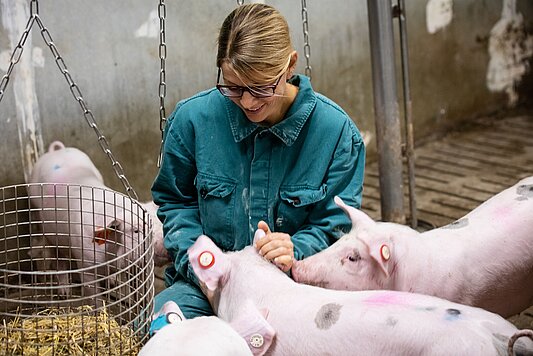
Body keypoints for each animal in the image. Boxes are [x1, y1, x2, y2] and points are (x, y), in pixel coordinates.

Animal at [0, 185, 154, 354]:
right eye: (136, 231)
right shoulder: (86, 267)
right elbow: (95, 299)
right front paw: (98, 316)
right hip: (52, 237)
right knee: (60, 263)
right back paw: (63, 295)